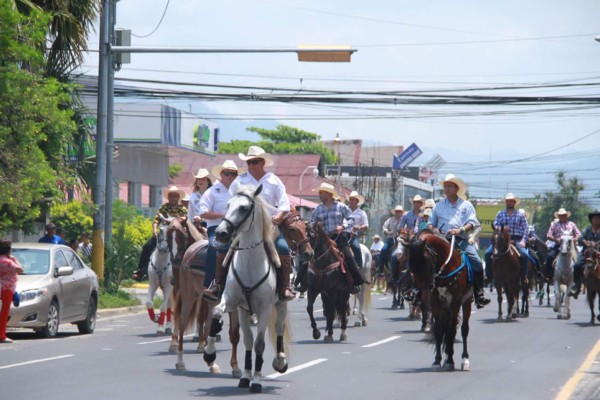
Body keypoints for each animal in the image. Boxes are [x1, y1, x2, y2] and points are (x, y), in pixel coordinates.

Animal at [203, 186, 292, 396]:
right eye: (228, 205)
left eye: (243, 207)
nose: (221, 233)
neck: (251, 263)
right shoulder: (236, 304)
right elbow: (243, 337)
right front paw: (211, 354)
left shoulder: (265, 309)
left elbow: (259, 344)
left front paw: (257, 381)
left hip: (281, 304)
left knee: (279, 329)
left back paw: (280, 361)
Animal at [404, 230, 474, 374]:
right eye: (411, 266)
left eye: (425, 260)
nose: (426, 288)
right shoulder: (435, 301)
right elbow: (439, 330)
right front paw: (437, 361)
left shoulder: (456, 302)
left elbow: (452, 330)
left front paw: (450, 361)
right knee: (446, 330)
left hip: (467, 301)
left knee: (463, 329)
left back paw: (464, 360)